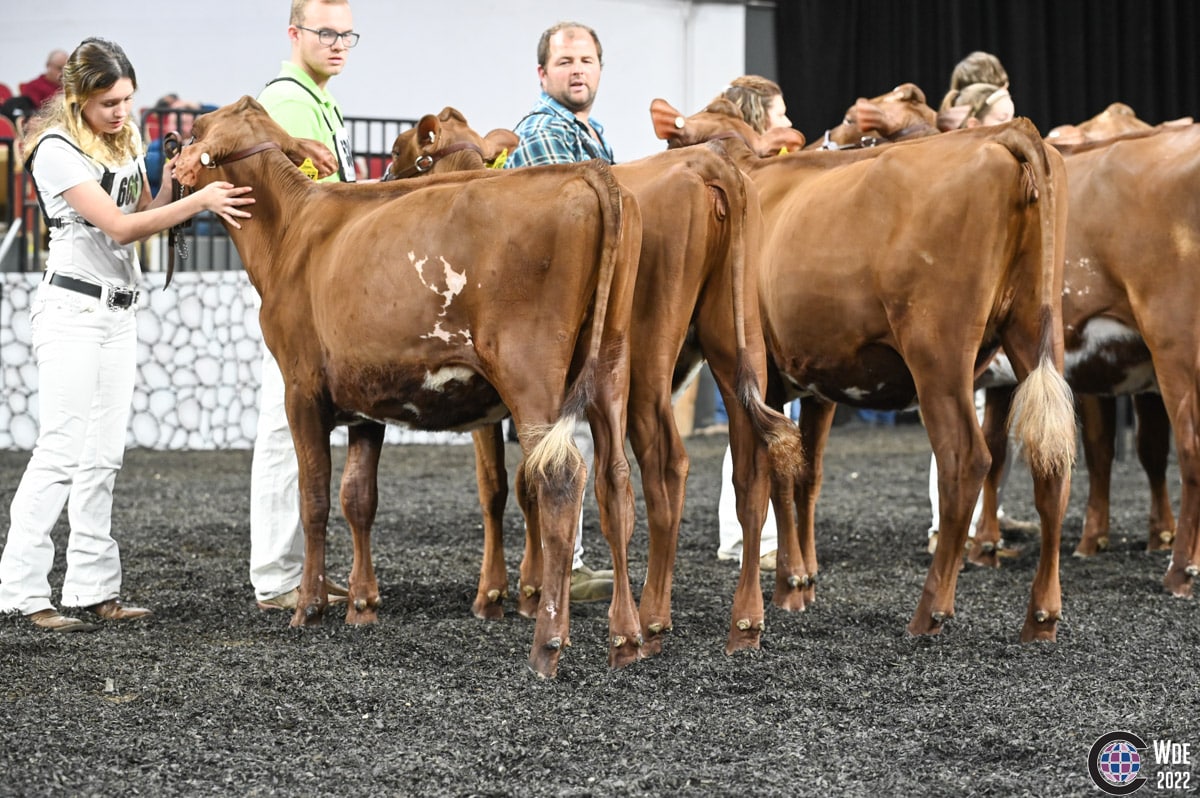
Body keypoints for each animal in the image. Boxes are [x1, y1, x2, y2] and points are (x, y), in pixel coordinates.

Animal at [172, 96, 643, 676]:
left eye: (195, 128)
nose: (170, 152)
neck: (291, 232)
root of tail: (583, 172)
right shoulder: (367, 399)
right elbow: (359, 497)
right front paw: (362, 604)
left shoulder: (300, 389)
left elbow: (314, 497)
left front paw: (310, 606)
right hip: (611, 368)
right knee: (614, 482)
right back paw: (627, 637)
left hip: (529, 373)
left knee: (559, 479)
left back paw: (547, 643)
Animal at [652, 96, 1075, 643]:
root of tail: (1006, 133)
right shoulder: (816, 382)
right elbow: (806, 474)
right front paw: (803, 581)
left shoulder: (766, 374)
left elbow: (777, 475)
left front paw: (787, 584)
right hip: (1036, 331)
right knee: (1054, 459)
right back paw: (1041, 615)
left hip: (938, 352)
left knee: (965, 459)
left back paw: (930, 612)